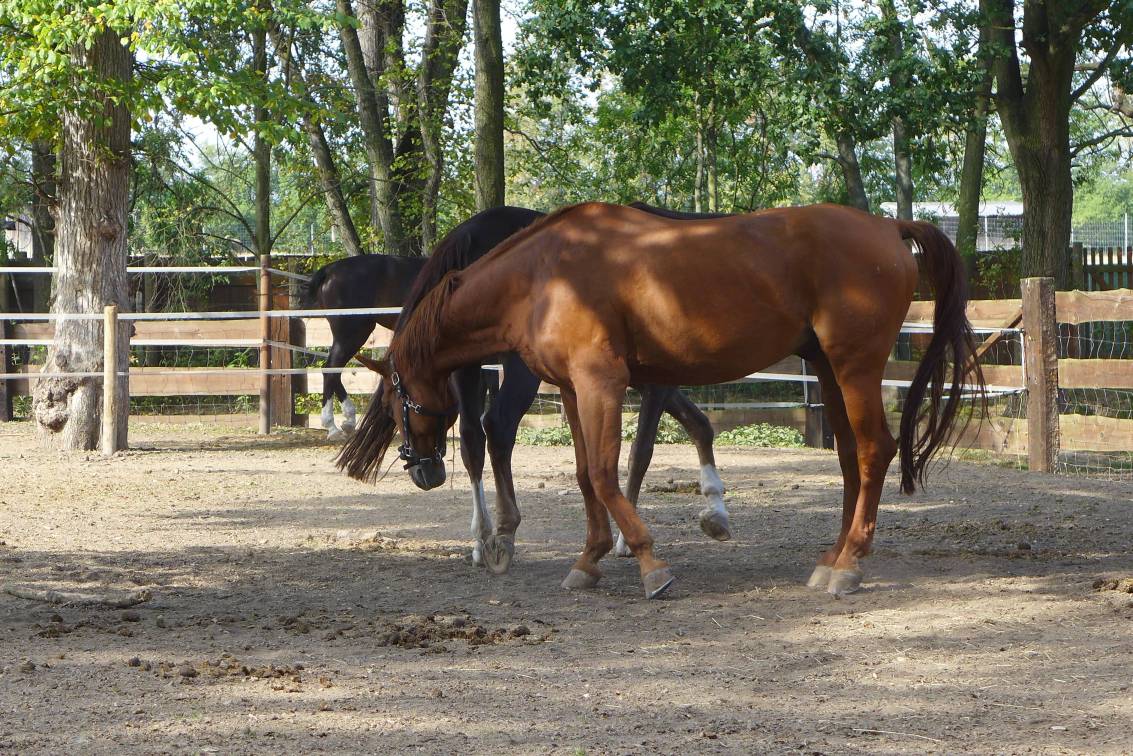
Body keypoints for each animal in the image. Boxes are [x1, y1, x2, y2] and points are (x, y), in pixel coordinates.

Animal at [337, 200, 983, 598]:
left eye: (392, 402)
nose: (419, 467)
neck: (542, 273)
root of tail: (888, 227)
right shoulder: (573, 388)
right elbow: (585, 474)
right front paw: (590, 559)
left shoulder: (604, 382)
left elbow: (610, 471)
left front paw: (648, 560)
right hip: (827, 368)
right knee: (851, 458)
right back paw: (831, 557)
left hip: (854, 365)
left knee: (875, 451)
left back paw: (848, 565)